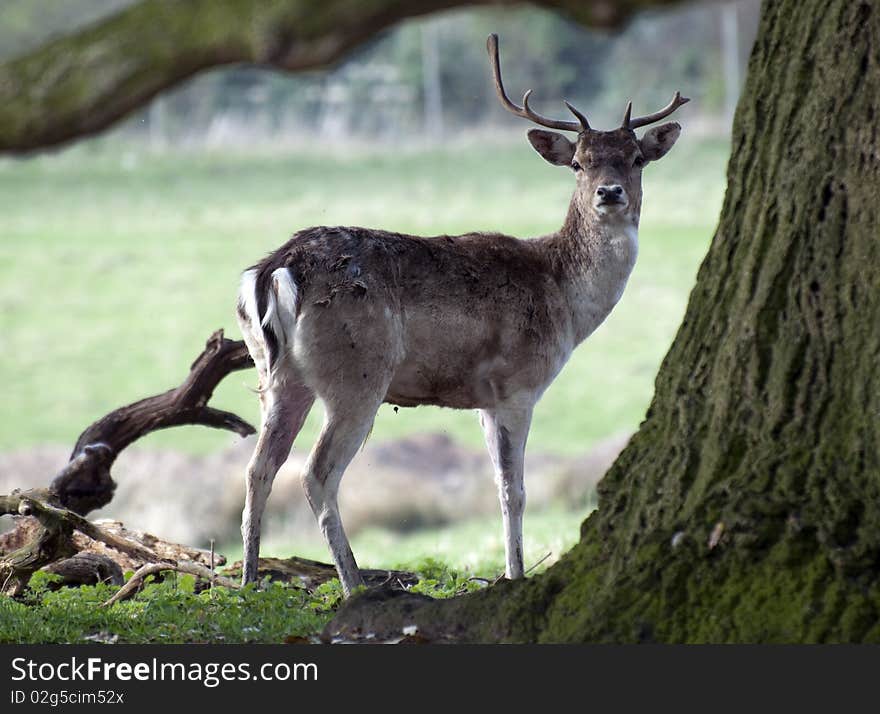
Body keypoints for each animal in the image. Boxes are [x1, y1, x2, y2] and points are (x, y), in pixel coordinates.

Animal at [234, 33, 688, 592]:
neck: (563, 296)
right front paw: (516, 574)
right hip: (357, 373)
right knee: (317, 473)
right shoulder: (517, 385)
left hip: (276, 373)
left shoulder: (483, 400)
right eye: (579, 162)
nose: (609, 192)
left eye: (637, 158)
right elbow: (515, 490)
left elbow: (498, 485)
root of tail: (277, 269)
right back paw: (354, 585)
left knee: (258, 468)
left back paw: (248, 581)